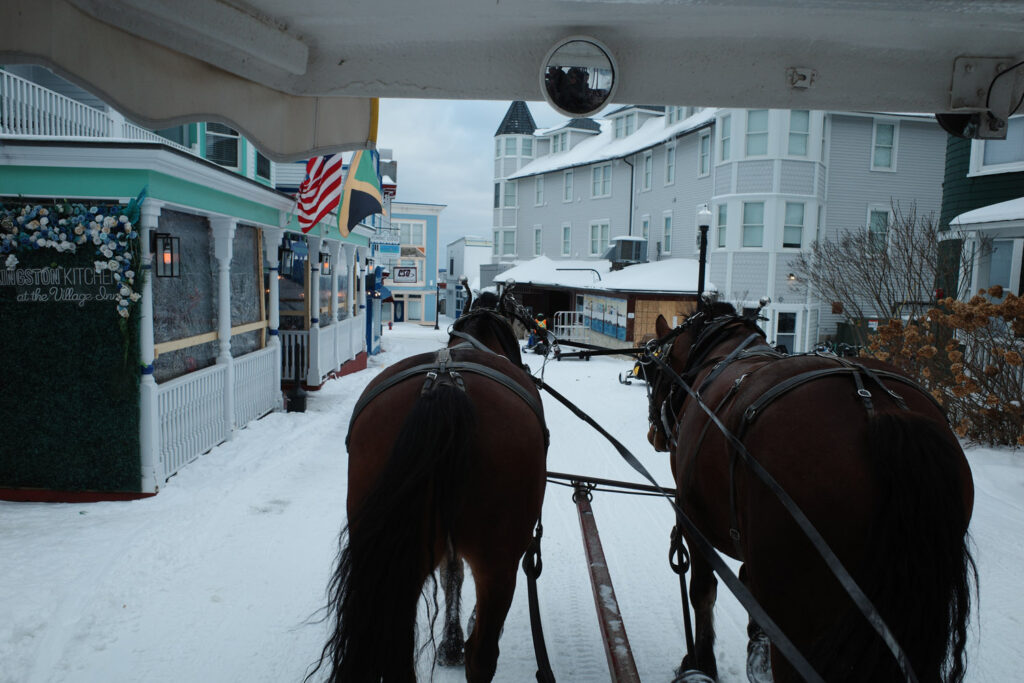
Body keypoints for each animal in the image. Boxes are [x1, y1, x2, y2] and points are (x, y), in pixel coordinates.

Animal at [309, 294, 548, 683]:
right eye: (518, 308)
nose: (538, 331)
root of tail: (445, 387)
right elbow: (455, 574)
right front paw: (454, 640)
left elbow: (451, 574)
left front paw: (449, 642)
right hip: (498, 559)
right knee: (482, 654)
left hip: (393, 551)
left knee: (396, 653)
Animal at [647, 305, 974, 683]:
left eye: (655, 369)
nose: (653, 434)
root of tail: (877, 411)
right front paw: (755, 653)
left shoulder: (694, 519)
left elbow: (702, 592)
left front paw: (701, 663)